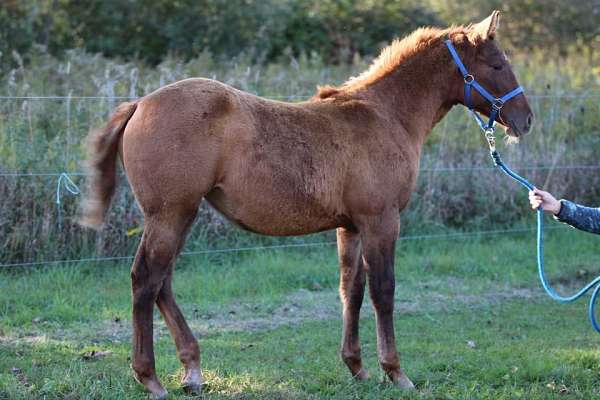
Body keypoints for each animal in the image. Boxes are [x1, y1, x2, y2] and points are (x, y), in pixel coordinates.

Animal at [81, 10, 536, 398]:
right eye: (498, 64)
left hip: (178, 215)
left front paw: (357, 367)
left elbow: (351, 290)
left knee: (162, 282)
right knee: (146, 279)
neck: (385, 115)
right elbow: (383, 291)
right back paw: (151, 378)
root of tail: (139, 104)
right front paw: (396, 372)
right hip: (171, 214)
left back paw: (191, 370)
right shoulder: (381, 221)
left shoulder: (350, 226)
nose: (526, 119)